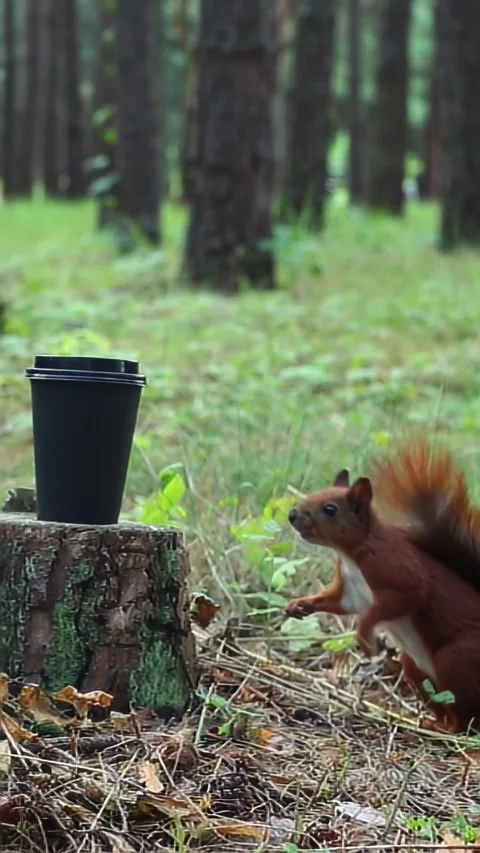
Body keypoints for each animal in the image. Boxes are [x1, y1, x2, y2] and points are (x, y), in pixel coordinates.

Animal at [284, 436, 480, 733]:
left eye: (330, 509)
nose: (292, 515)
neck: (351, 553)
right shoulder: (350, 590)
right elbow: (338, 603)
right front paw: (299, 605)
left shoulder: (400, 572)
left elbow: (399, 600)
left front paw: (365, 638)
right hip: (415, 668)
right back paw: (430, 721)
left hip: (457, 660)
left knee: (465, 718)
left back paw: (446, 729)